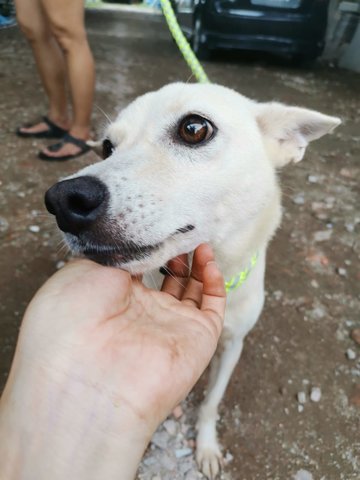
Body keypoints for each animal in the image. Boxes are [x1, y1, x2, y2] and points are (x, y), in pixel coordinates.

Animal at [44, 84, 340, 478]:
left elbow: (211, 403)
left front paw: (207, 447)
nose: (62, 201)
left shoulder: (233, 345)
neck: (223, 270)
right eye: (107, 147)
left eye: (194, 129)